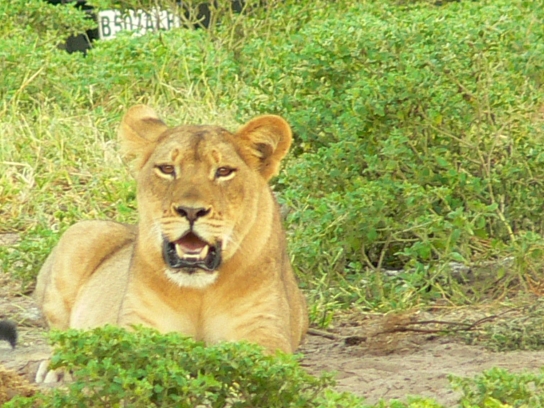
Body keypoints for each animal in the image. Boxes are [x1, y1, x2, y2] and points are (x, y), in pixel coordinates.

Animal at [34, 105, 308, 355]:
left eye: (223, 171)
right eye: (167, 169)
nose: (191, 211)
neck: (200, 292)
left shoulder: (265, 329)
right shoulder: (139, 323)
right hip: (81, 234)